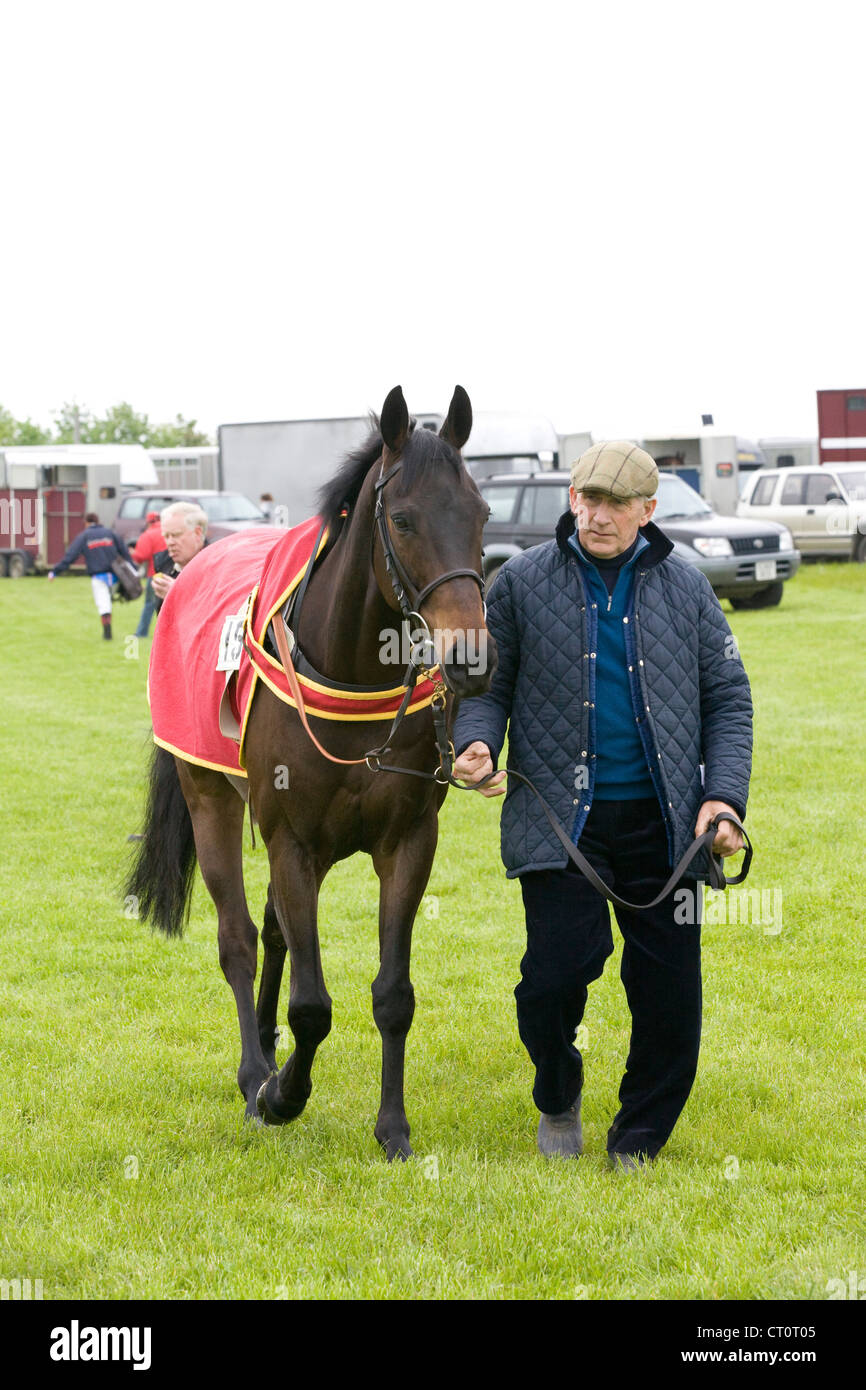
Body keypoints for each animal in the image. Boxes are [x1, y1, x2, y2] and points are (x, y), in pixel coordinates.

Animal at [126, 385, 495, 1160]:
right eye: (404, 519)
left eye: (480, 514)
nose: (470, 657)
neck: (348, 671)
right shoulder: (293, 842)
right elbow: (313, 1004)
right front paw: (282, 1094)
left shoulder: (407, 843)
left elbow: (392, 994)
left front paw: (393, 1128)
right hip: (211, 799)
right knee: (238, 940)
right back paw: (253, 1073)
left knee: (270, 936)